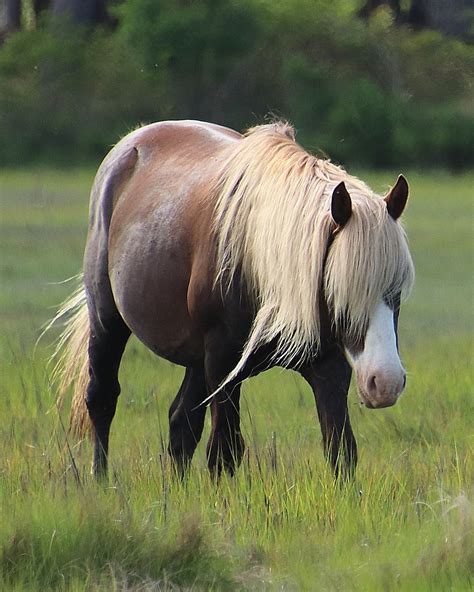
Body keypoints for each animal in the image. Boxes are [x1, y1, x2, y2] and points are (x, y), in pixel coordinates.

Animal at [52, 120, 414, 480]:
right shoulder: (223, 361)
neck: (261, 264)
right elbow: (224, 453)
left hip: (197, 360)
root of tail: (131, 142)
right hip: (108, 318)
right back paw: (101, 482)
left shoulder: (327, 365)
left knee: (181, 422)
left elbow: (341, 451)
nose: (385, 383)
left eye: (397, 289)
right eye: (341, 290)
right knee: (102, 399)